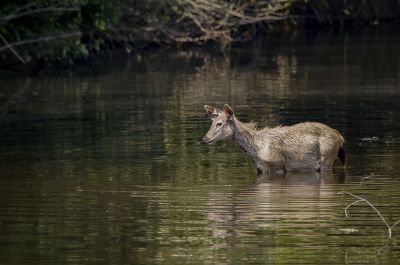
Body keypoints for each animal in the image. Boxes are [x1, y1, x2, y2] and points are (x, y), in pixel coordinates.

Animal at [202, 103, 346, 175]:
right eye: (211, 122)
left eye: (220, 123)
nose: (205, 139)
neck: (256, 150)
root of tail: (339, 136)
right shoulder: (260, 169)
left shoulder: (279, 165)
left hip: (327, 157)